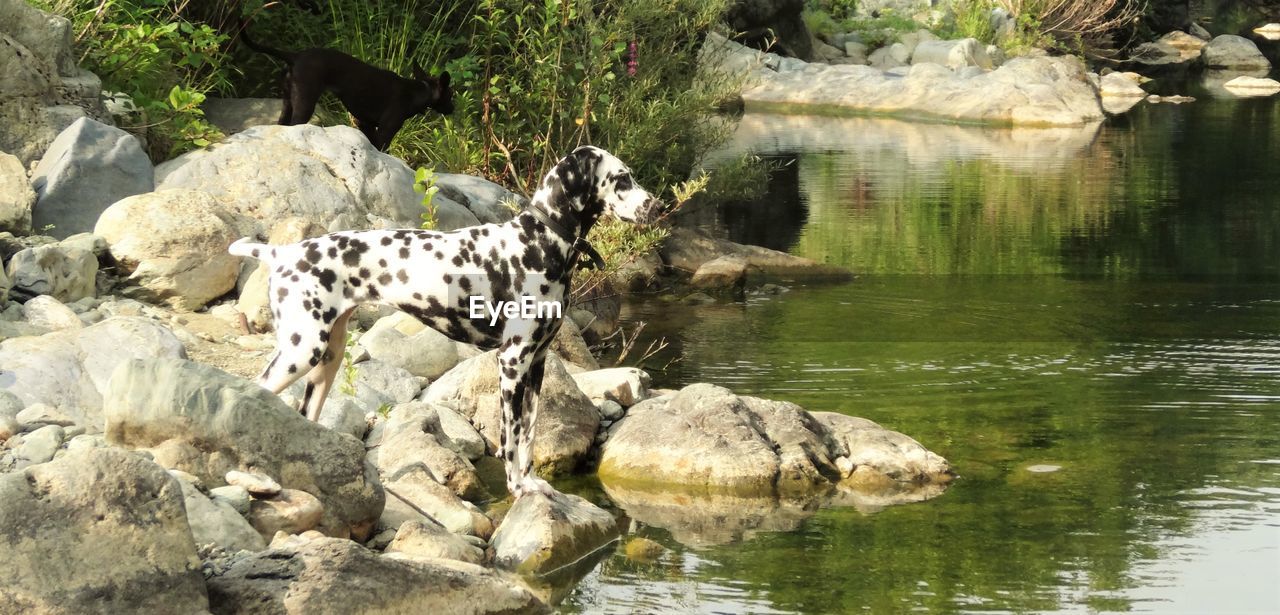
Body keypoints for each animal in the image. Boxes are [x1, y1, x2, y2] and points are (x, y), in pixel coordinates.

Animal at [229, 146, 660, 497]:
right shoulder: (512, 363)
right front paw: (517, 487)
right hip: (302, 351)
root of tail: (283, 253)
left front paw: (533, 482)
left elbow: (529, 436)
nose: (656, 206)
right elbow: (510, 437)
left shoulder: (537, 364)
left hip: (326, 360)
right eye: (623, 178)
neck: (538, 241)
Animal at [238, 23, 453, 150]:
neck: (420, 90)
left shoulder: (365, 124)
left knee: (282, 124)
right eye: (451, 95)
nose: (453, 108)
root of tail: (295, 56)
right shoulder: (386, 129)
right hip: (305, 102)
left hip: (287, 101)